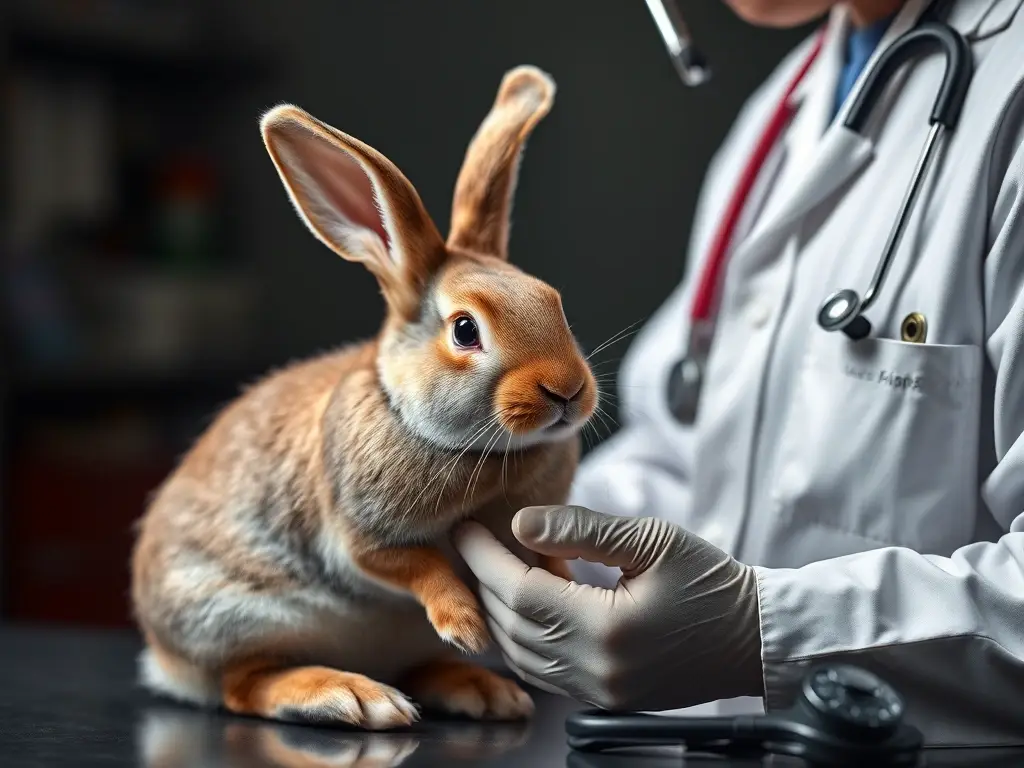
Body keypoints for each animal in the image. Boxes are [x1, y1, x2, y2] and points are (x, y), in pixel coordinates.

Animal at [130, 64, 598, 732]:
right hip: (242, 617)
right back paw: (354, 696)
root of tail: (164, 659)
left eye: (553, 300)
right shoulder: (358, 539)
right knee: (244, 684)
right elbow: (417, 565)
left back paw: (481, 690)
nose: (569, 391)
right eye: (465, 330)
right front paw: (465, 625)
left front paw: (557, 592)